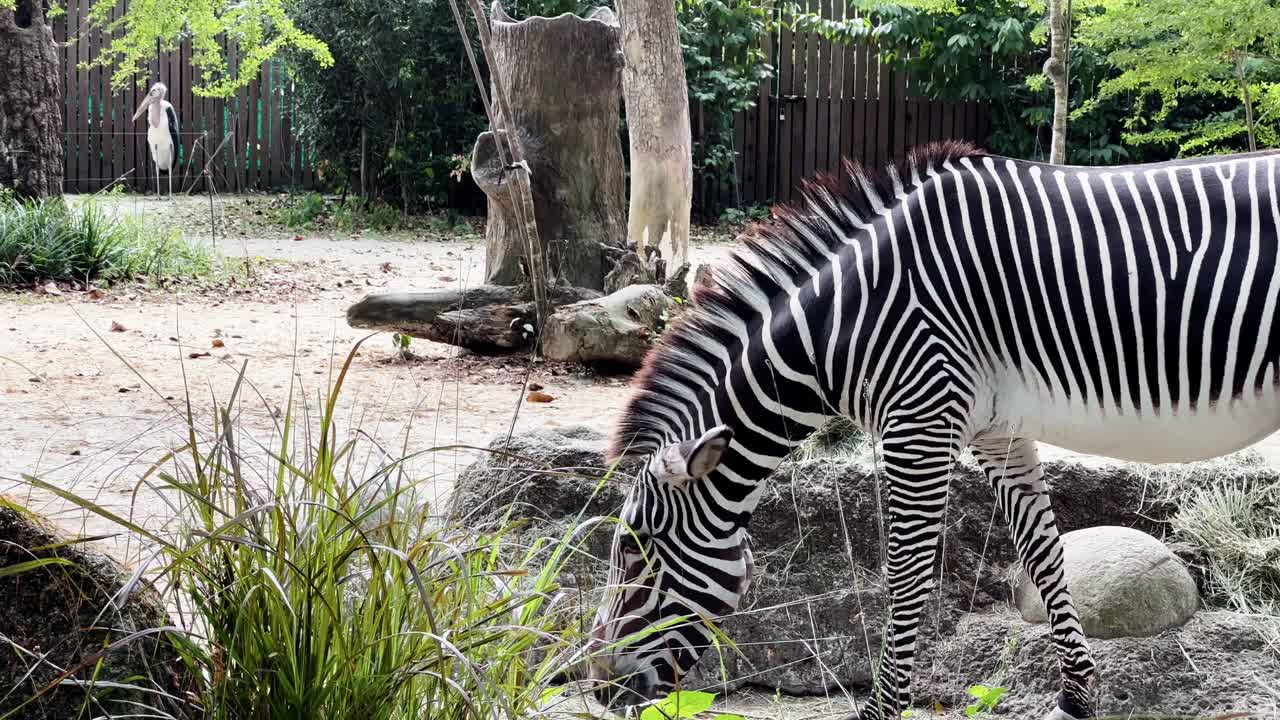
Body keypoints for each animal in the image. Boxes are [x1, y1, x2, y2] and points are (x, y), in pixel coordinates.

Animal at [586, 141, 1280, 720]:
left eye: (636, 555)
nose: (598, 688)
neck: (844, 323)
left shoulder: (920, 418)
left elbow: (907, 576)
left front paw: (880, 711)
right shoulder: (997, 431)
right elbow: (1043, 554)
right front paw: (1077, 698)